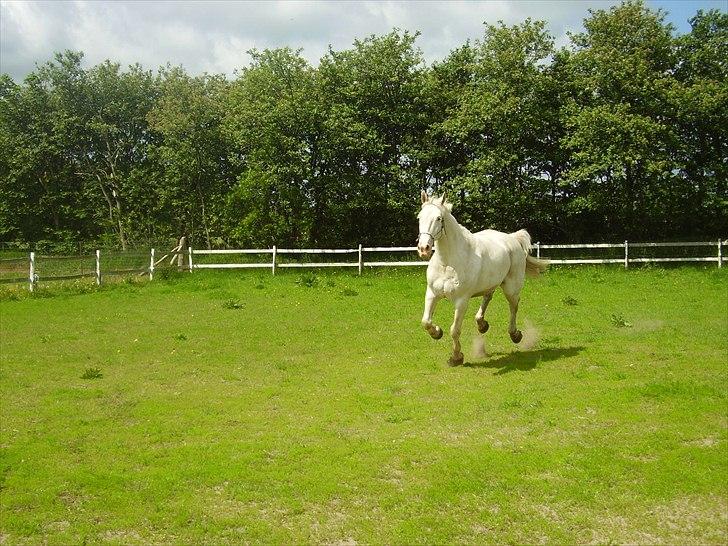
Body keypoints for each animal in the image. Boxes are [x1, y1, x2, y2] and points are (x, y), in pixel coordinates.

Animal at [416, 191, 544, 366]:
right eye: (419, 217)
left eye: (439, 218)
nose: (424, 249)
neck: (447, 263)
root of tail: (512, 238)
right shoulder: (432, 294)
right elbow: (426, 321)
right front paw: (437, 333)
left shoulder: (461, 301)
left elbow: (454, 330)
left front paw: (456, 357)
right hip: (490, 283)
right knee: (488, 297)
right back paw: (482, 324)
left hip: (511, 288)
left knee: (514, 306)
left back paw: (515, 334)